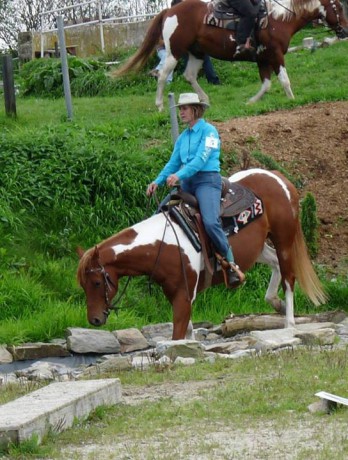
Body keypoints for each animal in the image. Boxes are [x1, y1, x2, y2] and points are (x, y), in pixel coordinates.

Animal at [76, 167, 326, 340]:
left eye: (97, 282)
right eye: (83, 285)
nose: (94, 319)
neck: (162, 244)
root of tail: (277, 177)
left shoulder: (183, 296)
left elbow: (177, 335)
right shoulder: (176, 294)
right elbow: (186, 333)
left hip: (284, 240)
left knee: (288, 277)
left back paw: (289, 322)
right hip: (258, 248)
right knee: (274, 263)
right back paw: (275, 303)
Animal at [113, 0, 348, 110]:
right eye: (337, 6)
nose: (344, 31)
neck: (279, 19)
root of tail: (170, 11)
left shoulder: (263, 59)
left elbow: (266, 85)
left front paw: (250, 102)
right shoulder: (275, 55)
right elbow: (284, 80)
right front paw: (292, 100)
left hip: (197, 53)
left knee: (189, 76)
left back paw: (205, 100)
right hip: (175, 52)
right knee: (162, 75)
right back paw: (160, 105)